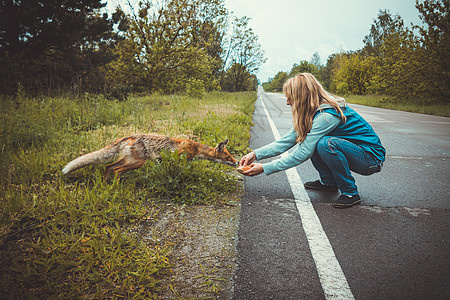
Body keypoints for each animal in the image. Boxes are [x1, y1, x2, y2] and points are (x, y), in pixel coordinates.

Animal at [64, 134, 239, 180]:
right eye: (228, 156)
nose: (237, 162)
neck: (195, 148)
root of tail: (131, 136)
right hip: (137, 163)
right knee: (116, 170)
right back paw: (115, 187)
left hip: (129, 160)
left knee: (108, 167)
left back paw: (104, 185)